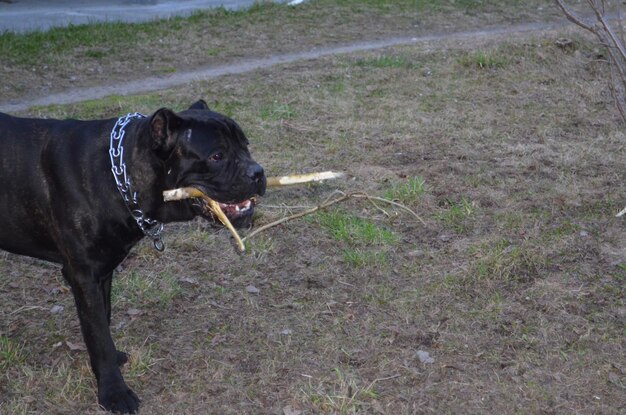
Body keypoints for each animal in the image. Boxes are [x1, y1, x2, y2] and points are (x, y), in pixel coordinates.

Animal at [0, 100, 266, 412]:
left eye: (246, 146)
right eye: (217, 156)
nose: (258, 172)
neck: (119, 175)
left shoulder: (103, 272)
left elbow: (103, 321)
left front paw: (110, 360)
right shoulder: (84, 276)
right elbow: (98, 334)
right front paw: (114, 392)